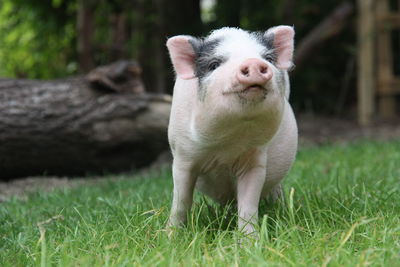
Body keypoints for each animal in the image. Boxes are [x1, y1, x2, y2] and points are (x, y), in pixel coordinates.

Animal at [165, 26, 296, 236]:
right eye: (214, 64)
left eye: (268, 58)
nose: (253, 62)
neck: (227, 145)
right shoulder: (183, 156)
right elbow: (181, 201)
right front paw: (170, 237)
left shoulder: (255, 159)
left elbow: (249, 204)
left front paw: (250, 241)